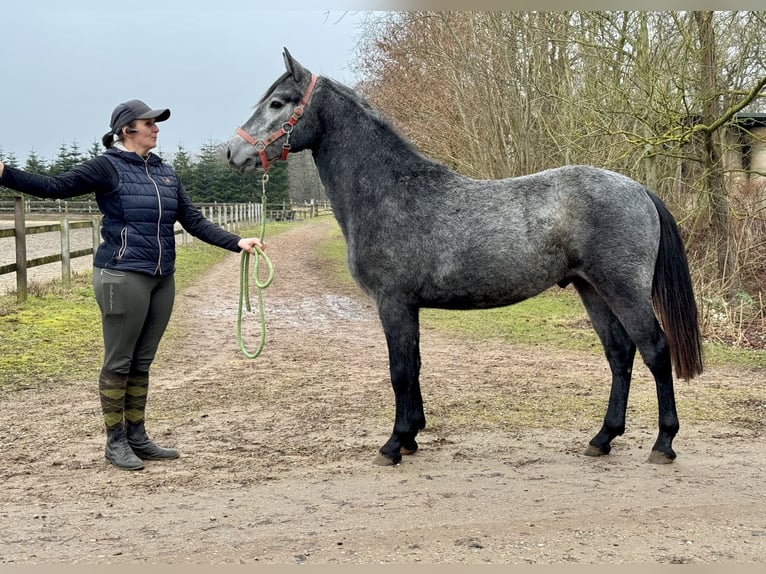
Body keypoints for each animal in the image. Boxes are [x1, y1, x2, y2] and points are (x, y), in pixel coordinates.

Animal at [225, 49, 704, 470]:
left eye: (278, 102)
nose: (233, 153)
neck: (390, 192)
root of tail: (638, 189)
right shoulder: (408, 307)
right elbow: (415, 366)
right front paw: (412, 436)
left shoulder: (393, 302)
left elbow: (400, 371)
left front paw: (394, 444)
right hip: (591, 290)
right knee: (620, 355)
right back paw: (602, 439)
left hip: (624, 290)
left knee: (655, 350)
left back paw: (663, 444)